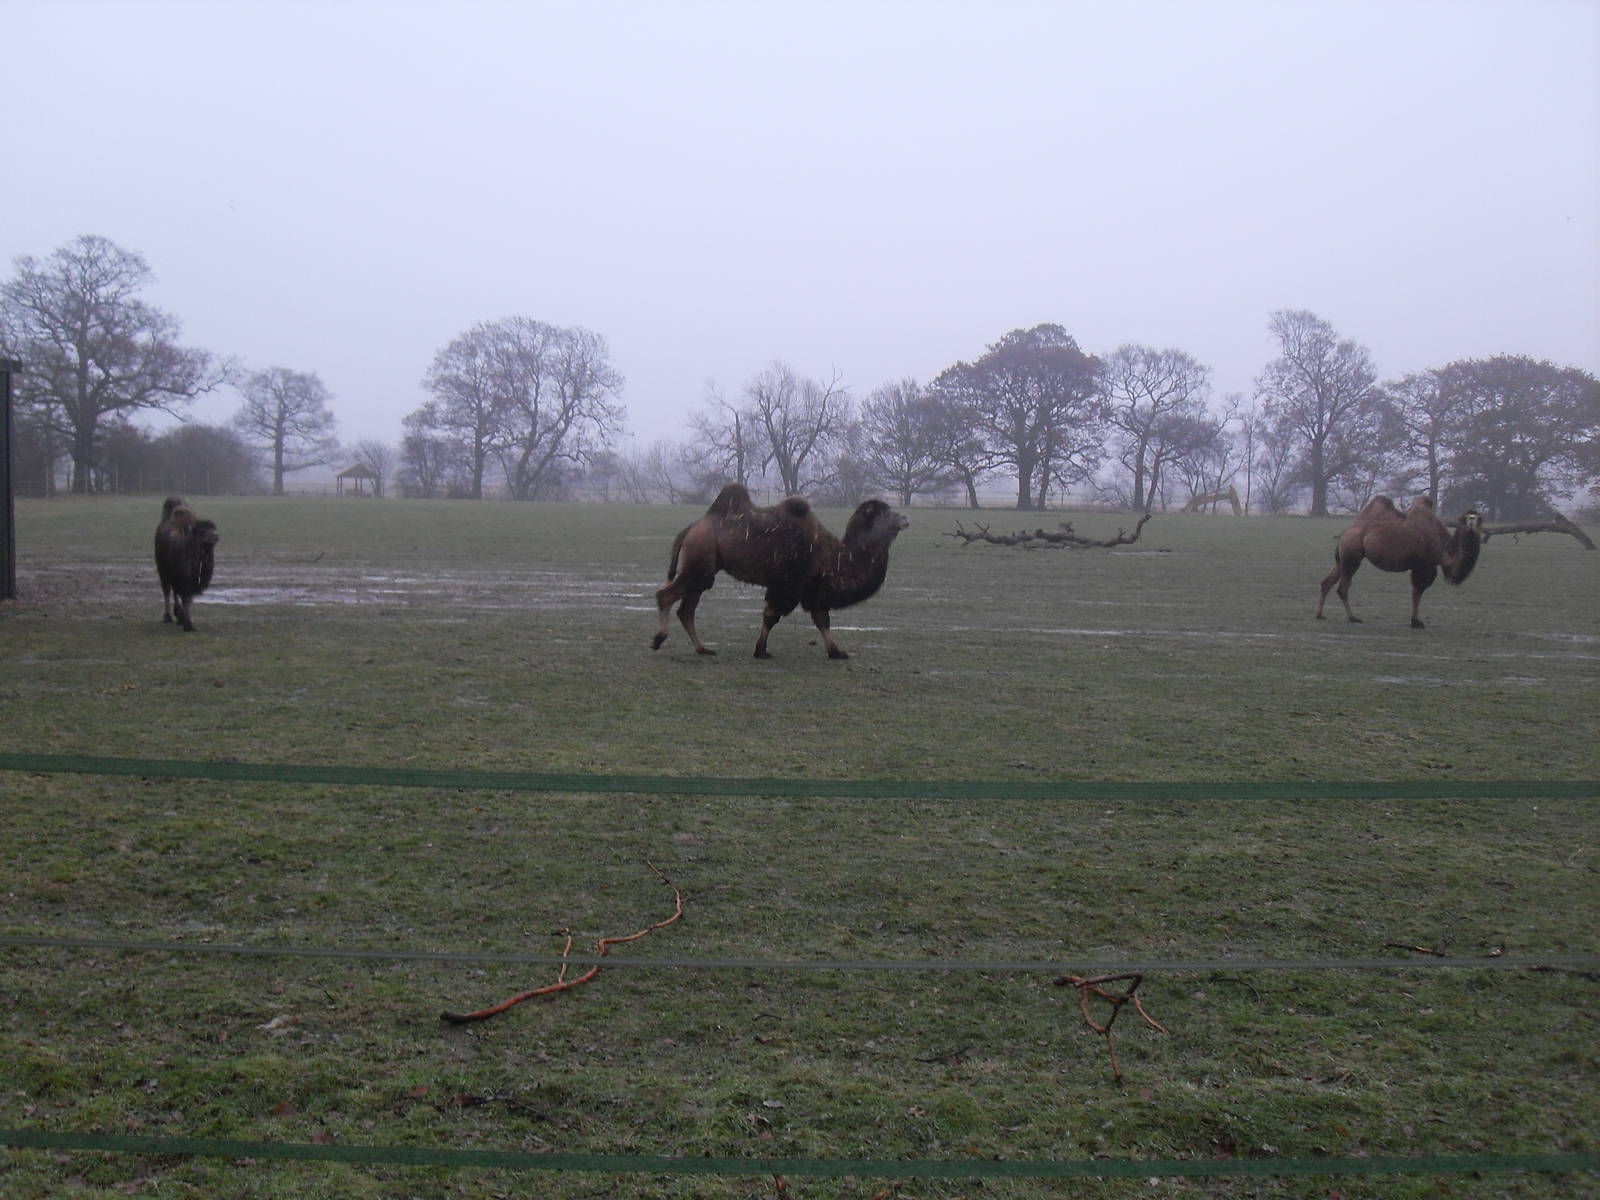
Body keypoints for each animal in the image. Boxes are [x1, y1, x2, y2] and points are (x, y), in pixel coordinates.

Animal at [652, 483, 909, 659]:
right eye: (885, 514)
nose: (905, 519)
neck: (832, 556)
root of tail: (692, 528)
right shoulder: (788, 584)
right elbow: (772, 615)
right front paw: (760, 651)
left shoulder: (811, 588)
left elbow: (822, 619)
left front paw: (837, 652)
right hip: (700, 562)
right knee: (666, 595)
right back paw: (659, 639)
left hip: (705, 567)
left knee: (686, 609)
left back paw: (702, 648)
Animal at [1316, 495, 1483, 628]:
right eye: (1466, 518)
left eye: (1479, 518)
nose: (1471, 523)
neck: (1443, 548)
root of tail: (1344, 534)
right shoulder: (1423, 566)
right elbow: (1417, 592)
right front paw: (1415, 622)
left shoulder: (1426, 567)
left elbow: (1417, 593)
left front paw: (1415, 621)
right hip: (1352, 557)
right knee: (1343, 587)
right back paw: (1353, 617)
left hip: (1341, 558)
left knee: (1327, 582)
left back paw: (1320, 614)